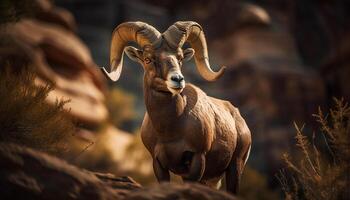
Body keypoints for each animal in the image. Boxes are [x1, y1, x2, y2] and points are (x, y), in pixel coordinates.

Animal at [101, 21, 252, 194]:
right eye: (148, 59)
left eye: (179, 58)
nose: (178, 79)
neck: (171, 130)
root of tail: (238, 116)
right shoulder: (159, 164)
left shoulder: (197, 160)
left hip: (235, 167)